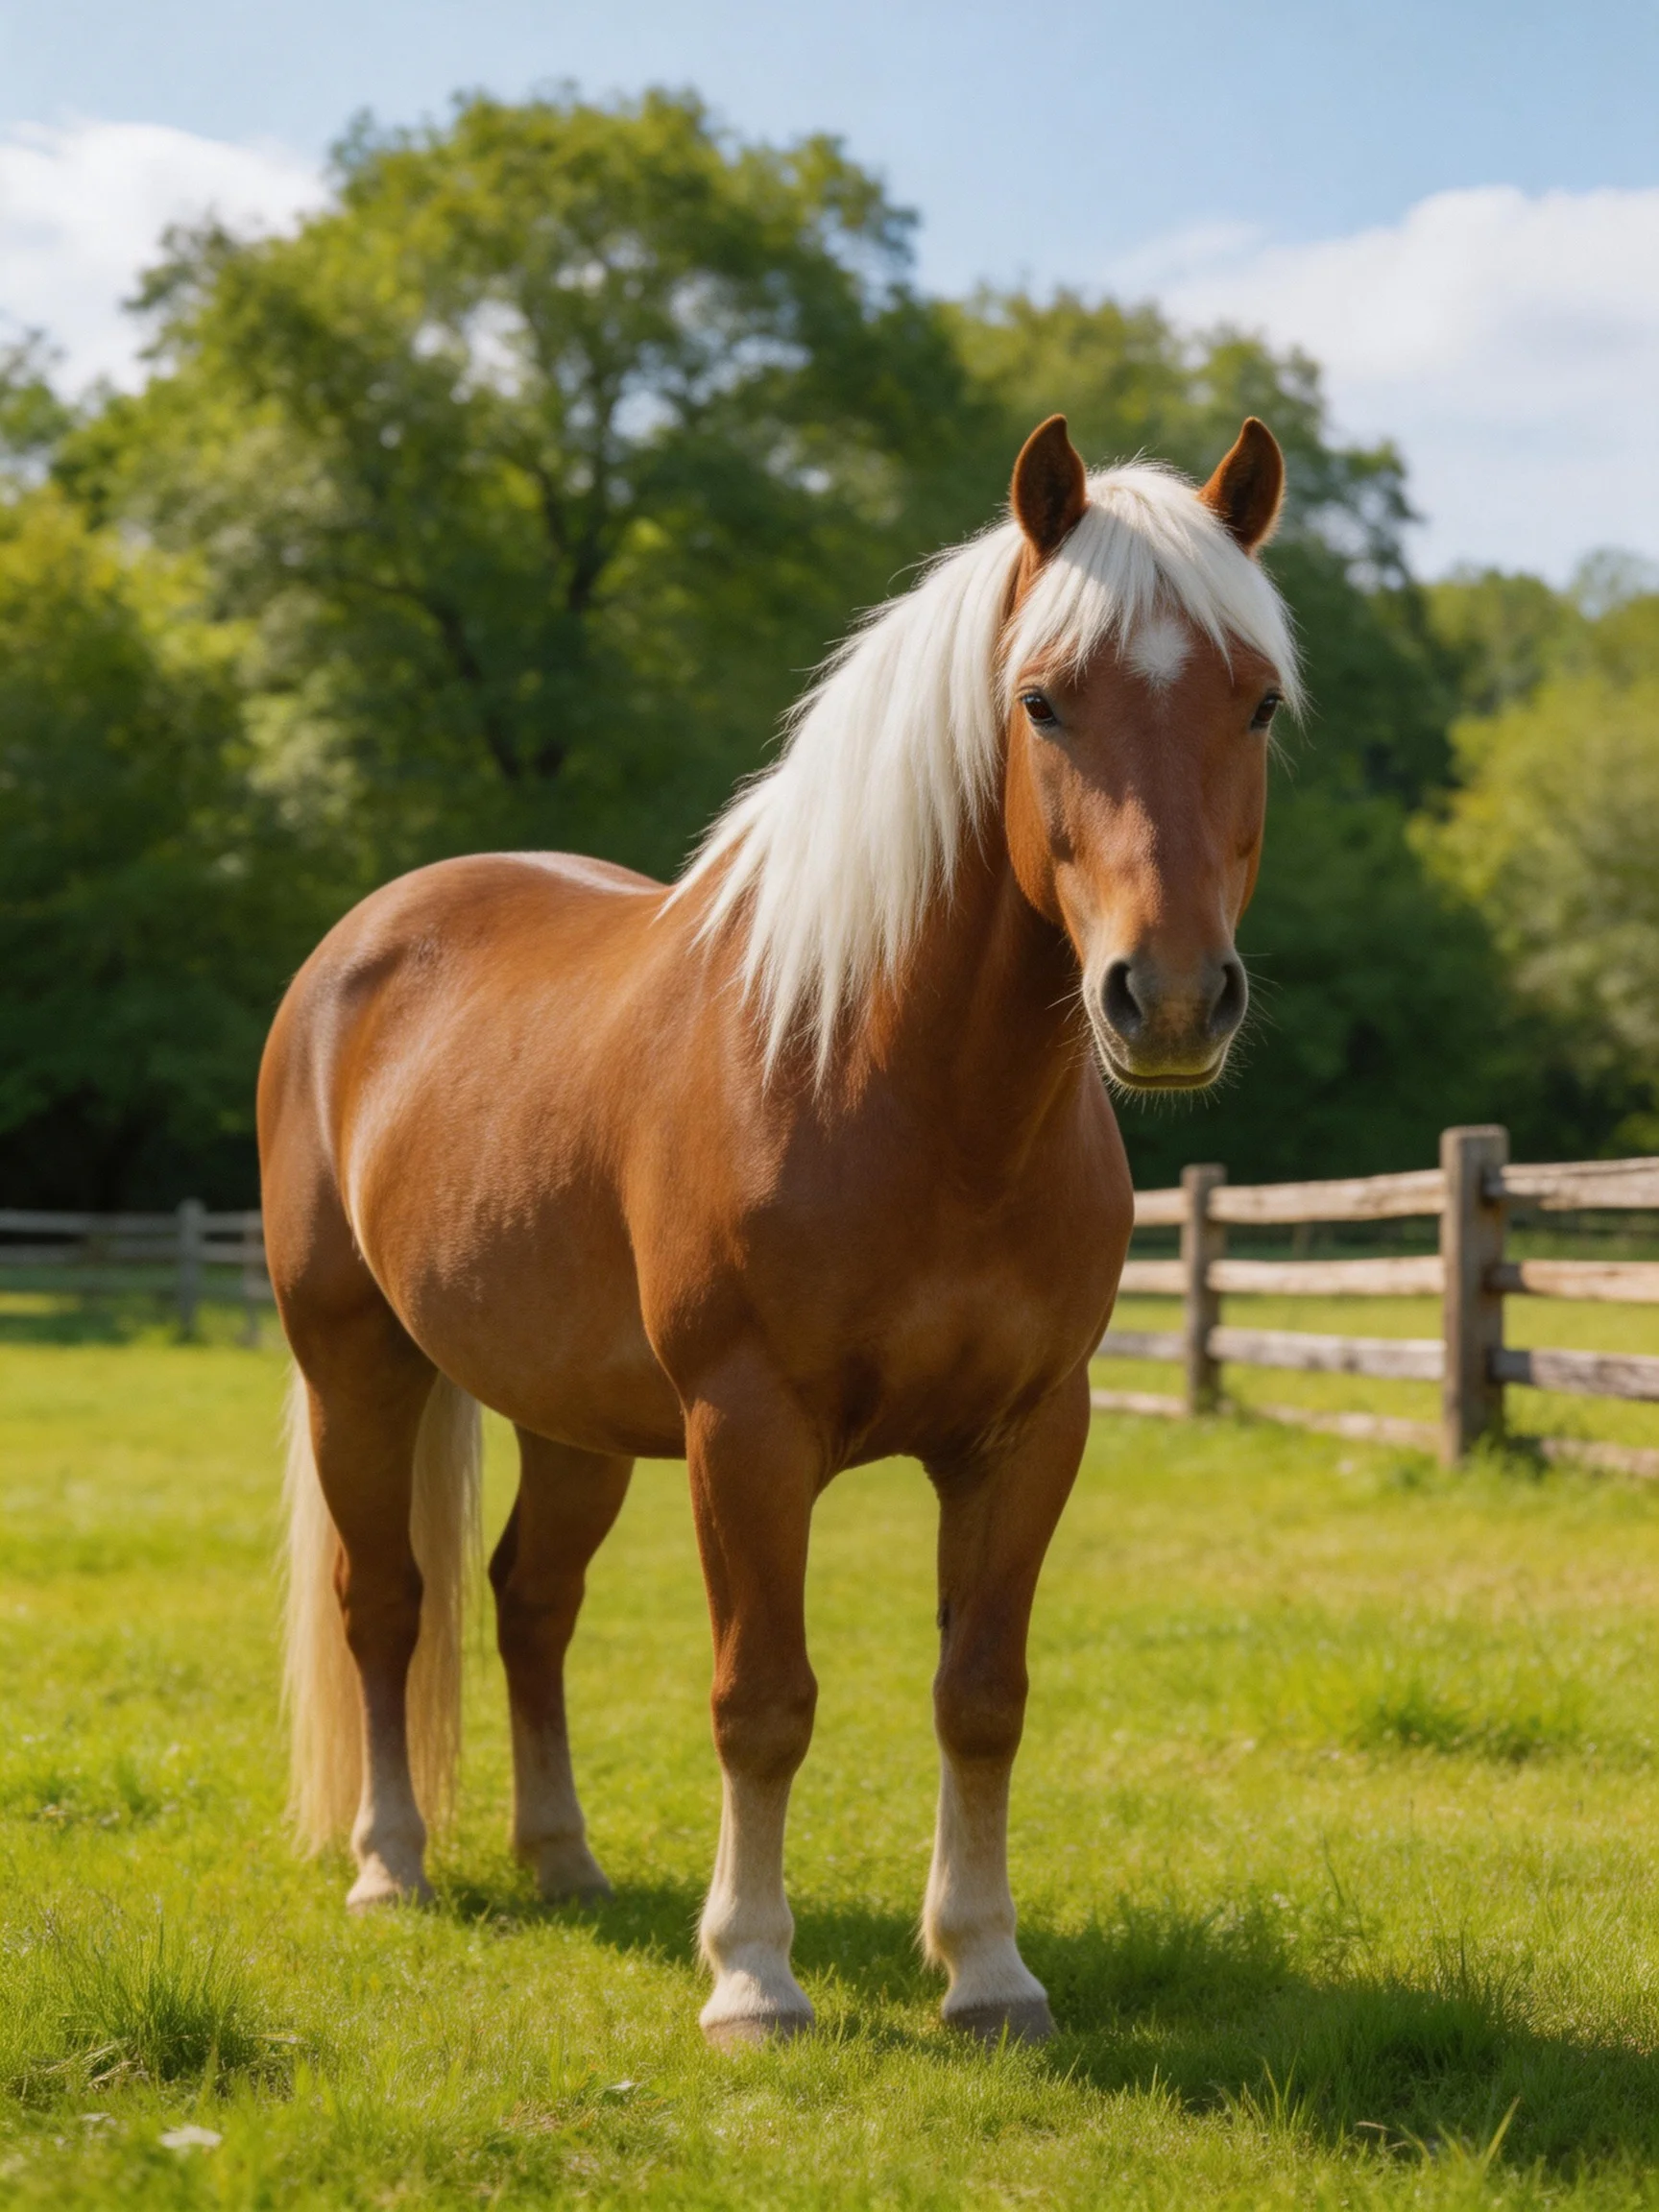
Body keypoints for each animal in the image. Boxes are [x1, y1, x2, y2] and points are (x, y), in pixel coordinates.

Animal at [260, 411, 1299, 2049]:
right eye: (1043, 702)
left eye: (1254, 702)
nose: (1176, 998)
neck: (905, 1090)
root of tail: (357, 946)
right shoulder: (746, 1434)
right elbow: (763, 1701)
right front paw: (752, 1974)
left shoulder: (1027, 1435)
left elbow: (980, 1695)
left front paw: (988, 1971)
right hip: (356, 1369)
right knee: (390, 1606)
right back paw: (392, 1867)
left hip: (568, 1416)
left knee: (529, 1604)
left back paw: (564, 1863)